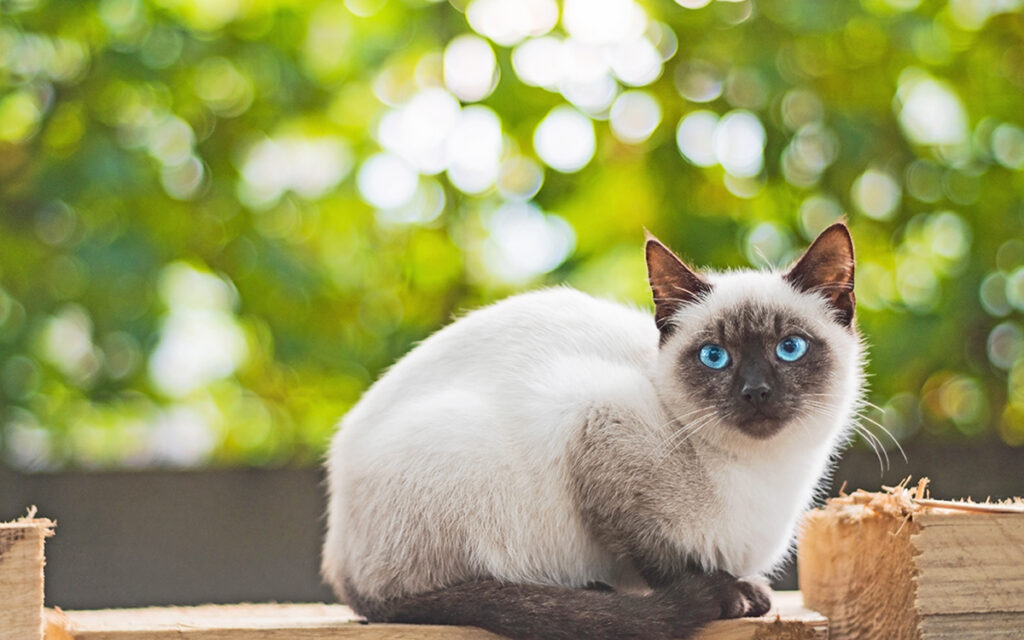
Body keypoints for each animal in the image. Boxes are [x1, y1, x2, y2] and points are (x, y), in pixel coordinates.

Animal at [321, 221, 864, 638]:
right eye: (715, 357)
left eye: (789, 348)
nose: (755, 392)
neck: (766, 475)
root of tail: (340, 564)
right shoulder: (598, 421)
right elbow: (659, 557)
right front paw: (728, 595)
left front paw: (746, 590)